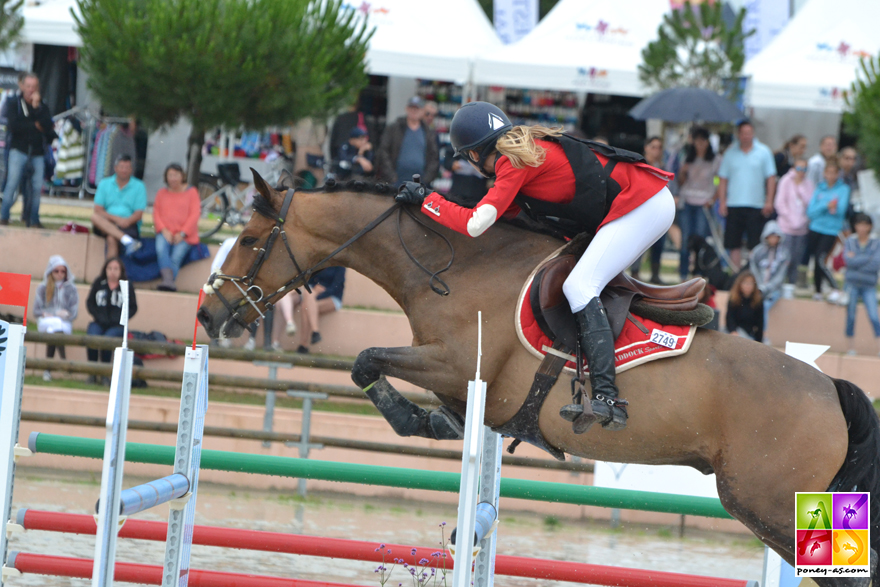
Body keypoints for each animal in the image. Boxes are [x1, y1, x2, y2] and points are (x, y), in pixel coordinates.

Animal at [199, 172, 880, 584]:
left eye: (251, 238)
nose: (207, 315)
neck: (453, 268)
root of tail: (831, 390)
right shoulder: (462, 382)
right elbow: (419, 394)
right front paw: (432, 422)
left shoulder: (454, 361)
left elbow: (366, 358)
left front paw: (408, 417)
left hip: (768, 505)